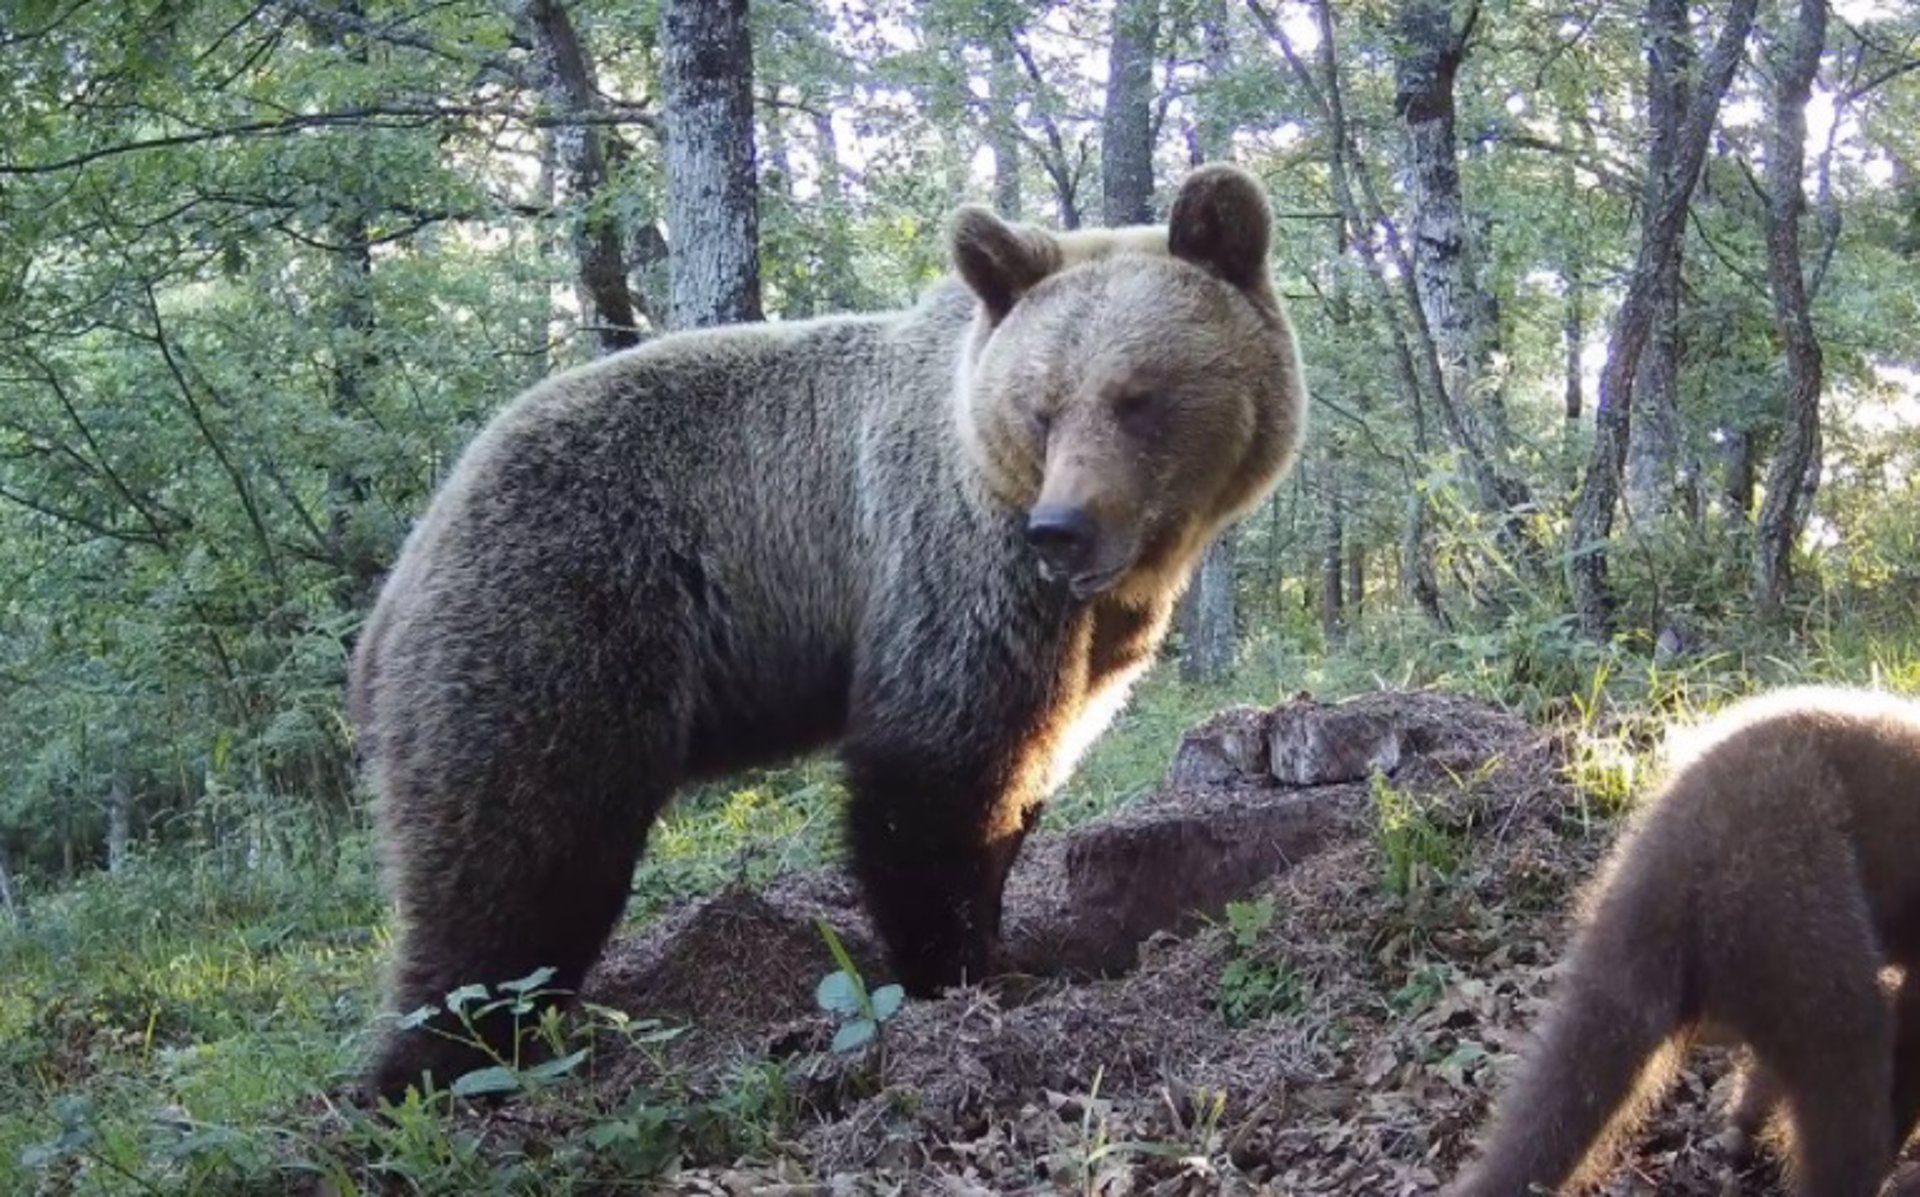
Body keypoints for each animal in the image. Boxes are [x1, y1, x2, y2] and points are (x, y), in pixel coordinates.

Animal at [349, 161, 1305, 1106]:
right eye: (1041, 407)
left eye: (1139, 397)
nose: (1061, 528)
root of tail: (404, 573)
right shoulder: (949, 565)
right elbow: (935, 771)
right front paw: (960, 968)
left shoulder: (1089, 635)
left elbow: (1032, 763)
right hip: (559, 619)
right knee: (516, 861)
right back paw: (431, 1067)